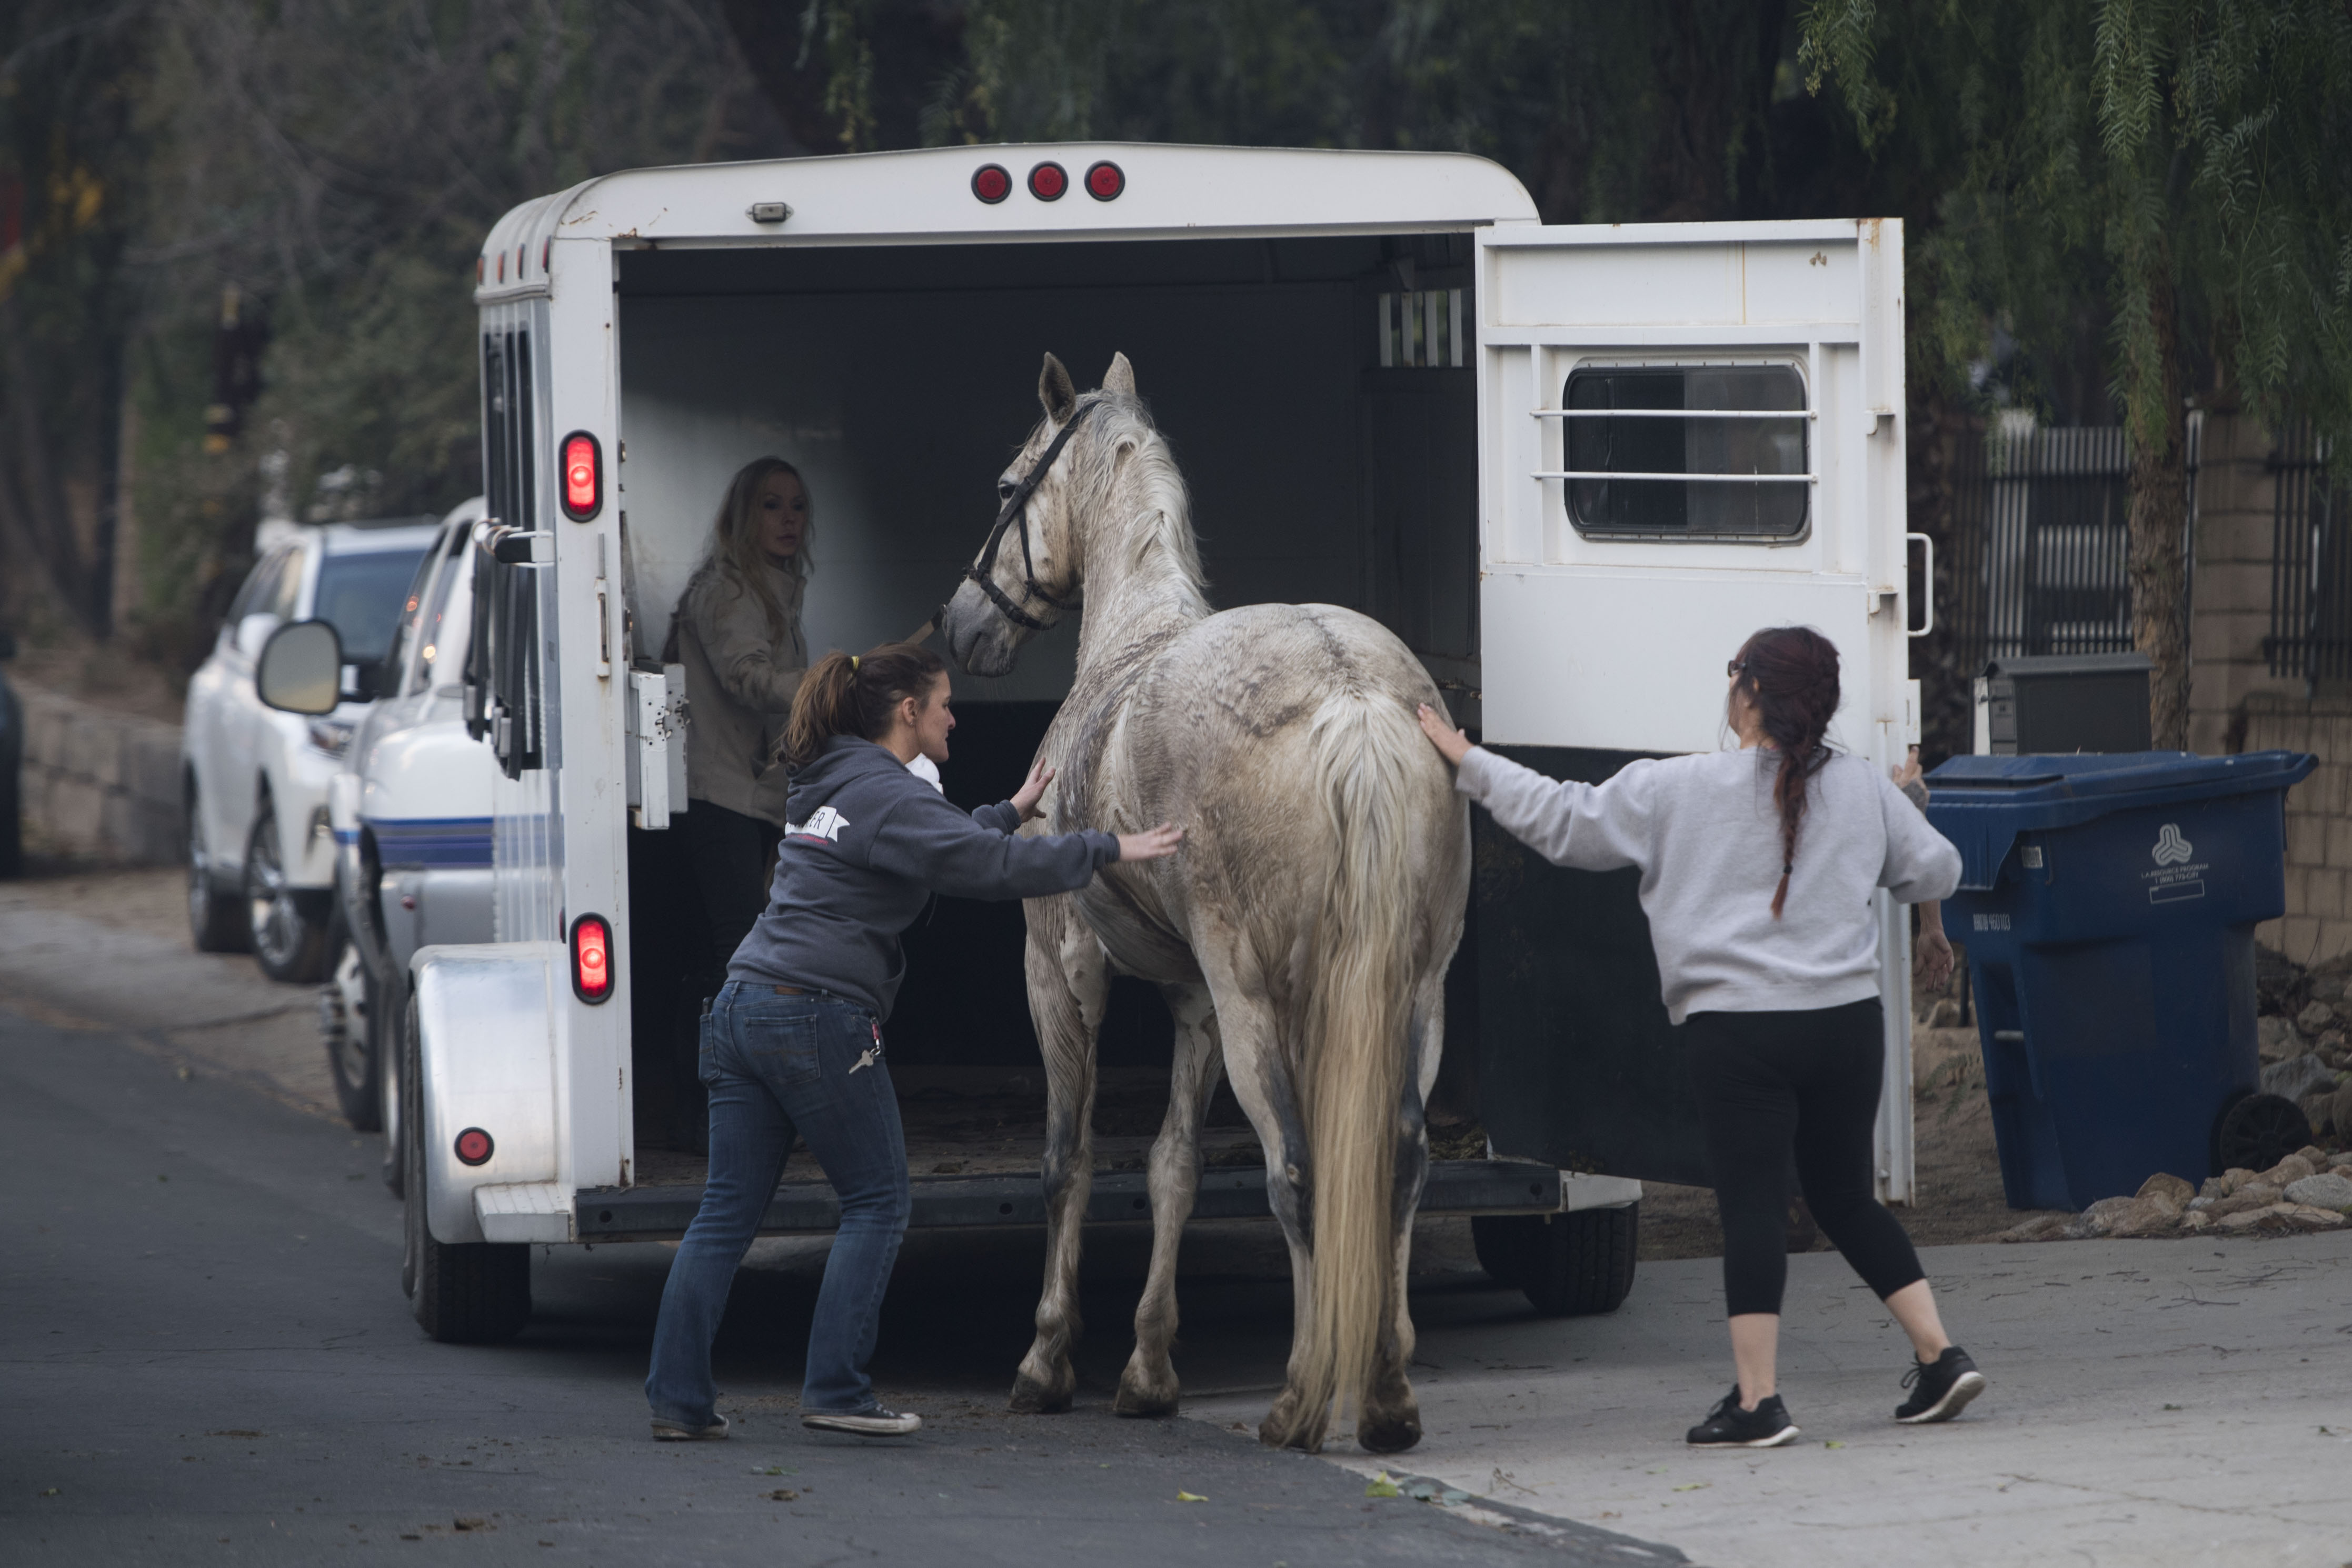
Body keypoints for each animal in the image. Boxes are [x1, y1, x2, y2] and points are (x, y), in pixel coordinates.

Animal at [937, 351, 1471, 1454]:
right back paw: (1386, 1391)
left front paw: (1047, 1357)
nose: (961, 627)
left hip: (1253, 999)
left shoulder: (1063, 969)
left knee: (1295, 1170)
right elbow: (1172, 1166)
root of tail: (1352, 697)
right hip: (1414, 992)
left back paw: (1303, 1396)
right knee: (1396, 1160)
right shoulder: (1191, 999)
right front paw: (1147, 1367)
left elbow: (1069, 1157)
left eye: (1008, 486)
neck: (1129, 640)